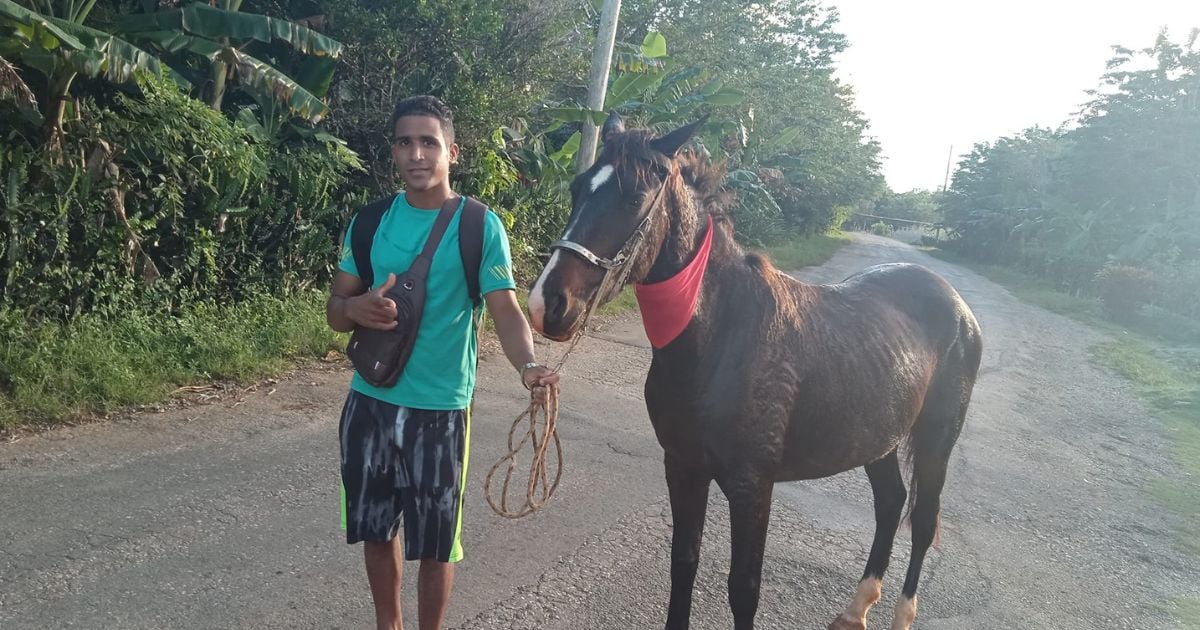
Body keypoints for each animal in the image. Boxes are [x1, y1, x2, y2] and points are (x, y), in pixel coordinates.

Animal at [528, 114, 984, 628]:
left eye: (632, 198)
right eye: (576, 187)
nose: (547, 305)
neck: (721, 339)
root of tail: (956, 303)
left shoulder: (752, 487)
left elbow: (743, 589)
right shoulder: (683, 466)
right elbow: (683, 561)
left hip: (935, 441)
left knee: (922, 520)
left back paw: (902, 614)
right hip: (878, 439)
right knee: (890, 504)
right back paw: (855, 609)